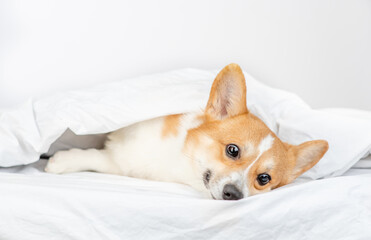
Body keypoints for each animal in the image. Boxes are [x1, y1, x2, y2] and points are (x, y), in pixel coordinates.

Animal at [45, 62, 330, 200]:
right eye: (233, 150)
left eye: (263, 179)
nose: (233, 195)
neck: (181, 163)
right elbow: (97, 155)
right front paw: (61, 160)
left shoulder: (121, 163)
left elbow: (101, 158)